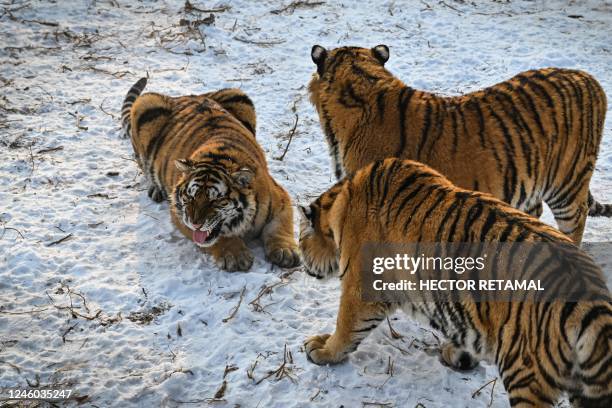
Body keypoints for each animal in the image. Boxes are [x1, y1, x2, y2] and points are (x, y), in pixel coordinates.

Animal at [120, 79, 300, 270]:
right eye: (190, 197)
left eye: (217, 200)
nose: (195, 224)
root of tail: (185, 96)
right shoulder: (180, 213)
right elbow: (218, 237)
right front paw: (234, 255)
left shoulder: (281, 198)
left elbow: (279, 227)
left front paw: (285, 251)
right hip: (145, 102)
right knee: (142, 163)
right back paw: (155, 189)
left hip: (238, 95)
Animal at [300, 159, 612, 408]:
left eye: (302, 240)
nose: (301, 264)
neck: (341, 202)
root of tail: (592, 299)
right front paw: (459, 356)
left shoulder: (362, 286)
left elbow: (346, 325)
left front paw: (323, 350)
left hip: (526, 373)